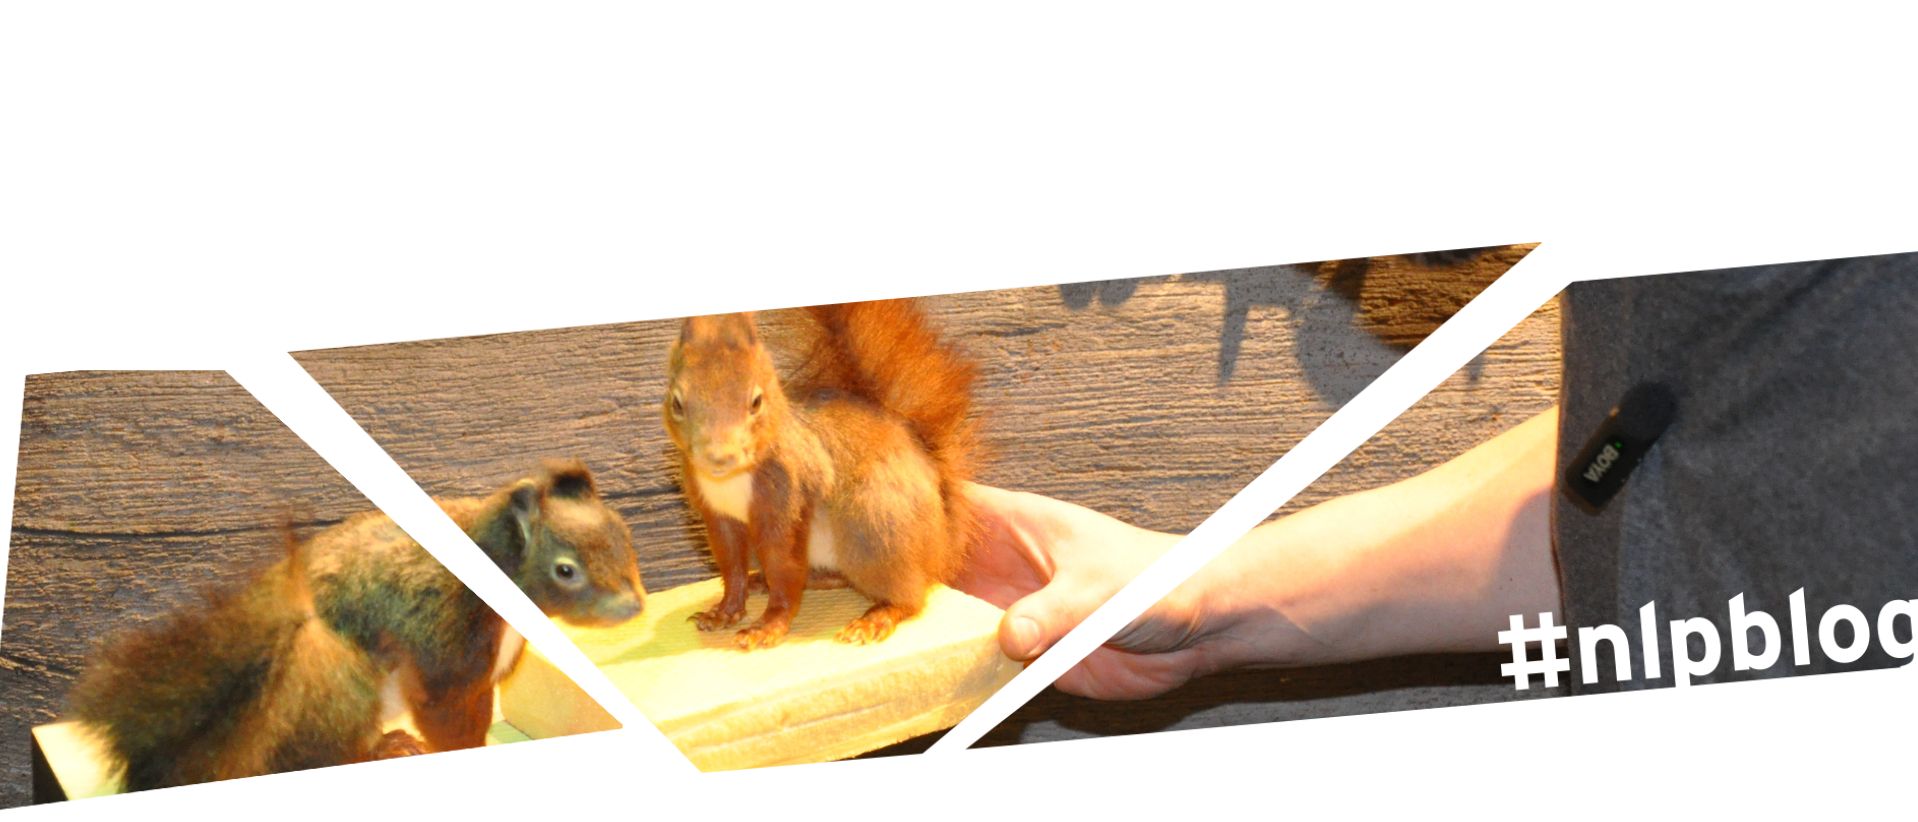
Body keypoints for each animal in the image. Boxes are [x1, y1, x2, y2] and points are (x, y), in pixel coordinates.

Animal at [65, 460, 645, 791]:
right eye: (566, 570)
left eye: (624, 535)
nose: (633, 607)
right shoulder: (447, 647)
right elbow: (449, 719)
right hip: (332, 681)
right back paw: (380, 750)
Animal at [663, 298, 979, 650]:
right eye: (676, 402)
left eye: (756, 401)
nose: (719, 457)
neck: (729, 482)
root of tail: (943, 542)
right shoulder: (719, 517)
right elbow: (731, 568)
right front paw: (723, 613)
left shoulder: (788, 496)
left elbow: (784, 569)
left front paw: (767, 627)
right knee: (834, 577)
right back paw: (771, 581)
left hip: (874, 527)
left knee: (910, 597)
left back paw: (875, 618)